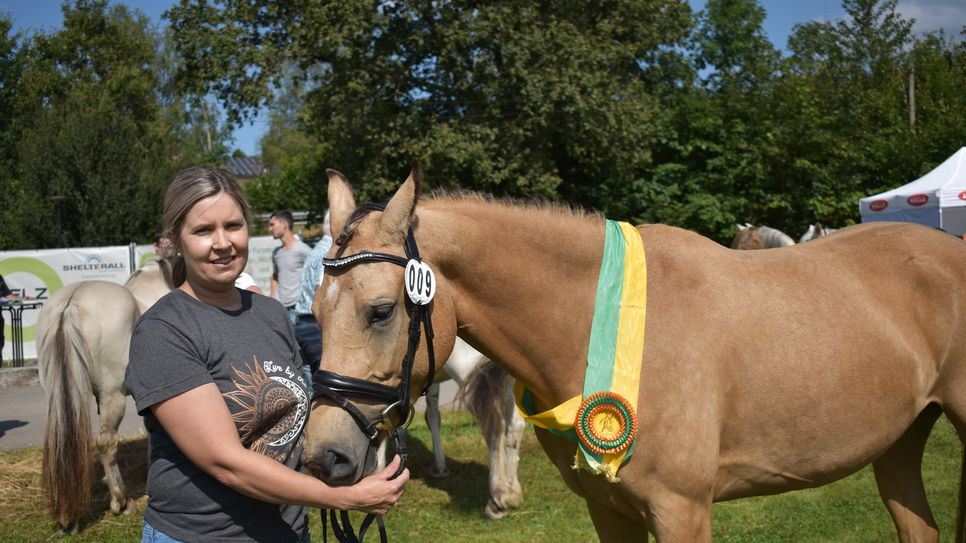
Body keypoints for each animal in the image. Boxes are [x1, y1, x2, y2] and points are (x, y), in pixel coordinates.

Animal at [426, 338, 524, 520]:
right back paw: (513, 492)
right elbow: (432, 410)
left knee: (493, 423)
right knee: (515, 423)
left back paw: (497, 500)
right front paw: (440, 466)